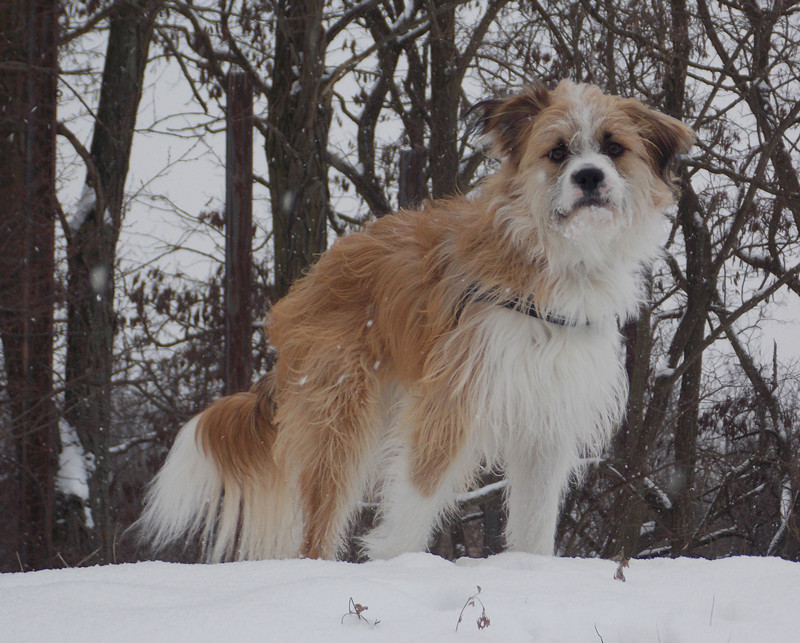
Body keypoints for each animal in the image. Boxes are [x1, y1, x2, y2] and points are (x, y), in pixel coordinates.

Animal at [138, 80, 692, 564]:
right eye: (557, 152)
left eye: (614, 147)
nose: (589, 177)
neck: (555, 259)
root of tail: (310, 282)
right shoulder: (451, 398)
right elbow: (418, 494)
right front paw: (396, 564)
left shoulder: (547, 416)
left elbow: (535, 521)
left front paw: (529, 570)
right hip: (339, 415)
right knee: (317, 524)